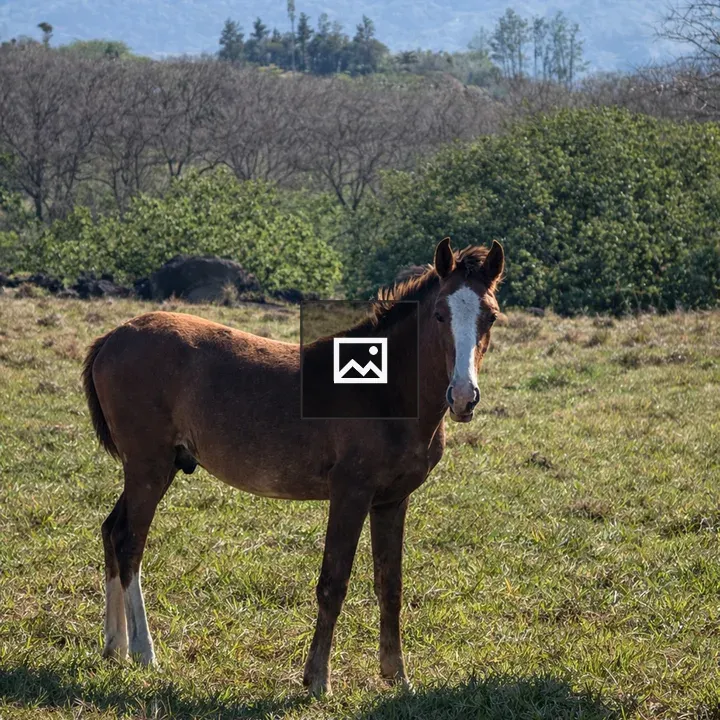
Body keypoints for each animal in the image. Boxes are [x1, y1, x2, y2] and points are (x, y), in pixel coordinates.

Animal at [82, 237, 504, 695]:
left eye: (491, 317)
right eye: (440, 313)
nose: (463, 397)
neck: (382, 394)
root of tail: (111, 337)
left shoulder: (391, 501)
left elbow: (389, 584)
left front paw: (397, 676)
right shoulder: (350, 494)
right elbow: (333, 583)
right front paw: (318, 679)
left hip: (151, 468)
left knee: (111, 531)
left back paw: (115, 647)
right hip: (149, 467)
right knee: (130, 544)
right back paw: (144, 652)